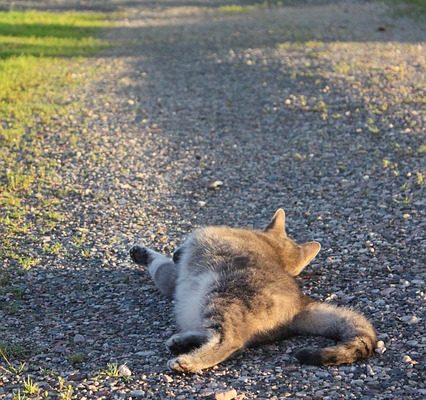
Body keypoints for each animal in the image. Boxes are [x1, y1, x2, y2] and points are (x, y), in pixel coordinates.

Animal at [130, 209, 376, 372]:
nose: (177, 253)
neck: (275, 250)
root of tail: (301, 304)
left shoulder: (176, 272)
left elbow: (160, 265)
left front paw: (145, 254)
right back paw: (183, 341)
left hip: (223, 296)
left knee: (232, 341)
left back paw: (188, 360)